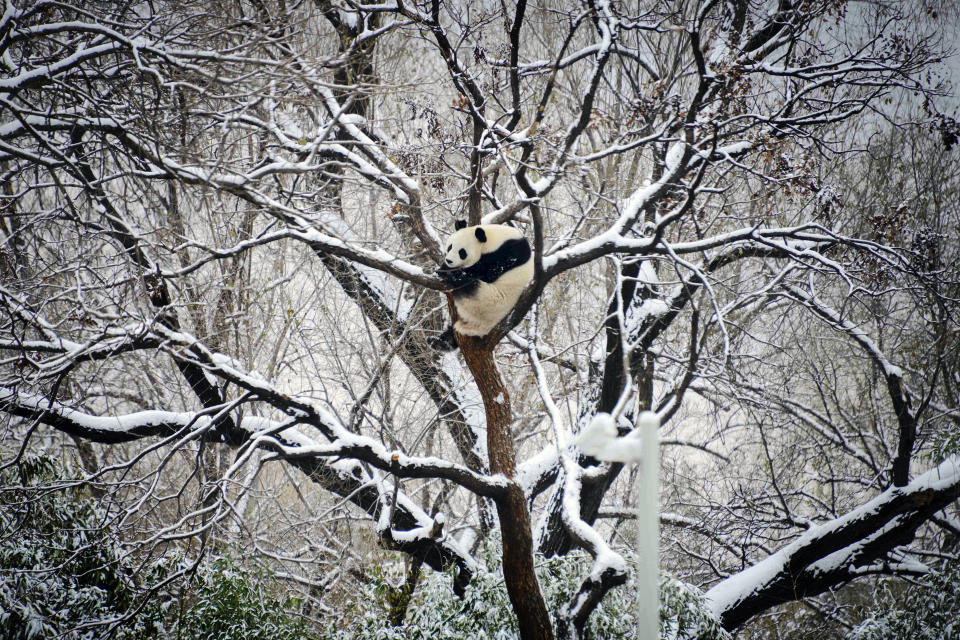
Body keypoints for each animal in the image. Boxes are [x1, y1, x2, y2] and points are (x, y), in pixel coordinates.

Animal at [434, 221, 536, 350]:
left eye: (462, 252)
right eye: (450, 247)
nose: (449, 260)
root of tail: (481, 327)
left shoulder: (508, 253)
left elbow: (488, 273)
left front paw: (451, 271)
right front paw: (442, 268)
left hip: (488, 301)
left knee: (469, 285)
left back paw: (456, 276)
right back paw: (440, 342)